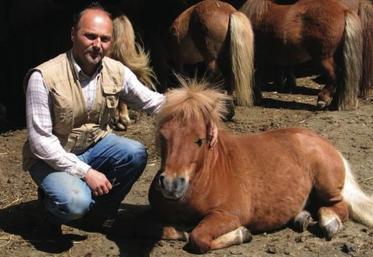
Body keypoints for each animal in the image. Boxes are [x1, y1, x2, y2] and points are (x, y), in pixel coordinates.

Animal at [146, 78, 372, 252]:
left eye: (199, 140)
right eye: (163, 135)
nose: (171, 185)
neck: (207, 175)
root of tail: (321, 141)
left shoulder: (226, 215)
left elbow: (198, 238)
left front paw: (241, 234)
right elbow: (161, 229)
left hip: (326, 185)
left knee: (339, 206)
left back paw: (329, 223)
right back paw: (301, 218)